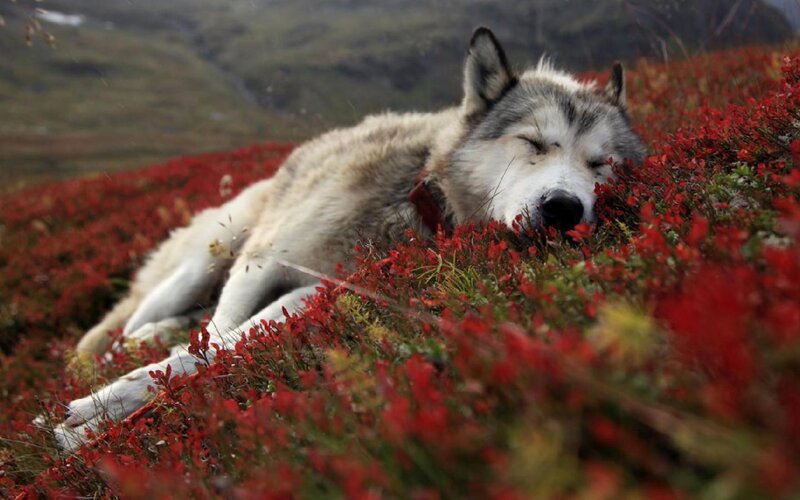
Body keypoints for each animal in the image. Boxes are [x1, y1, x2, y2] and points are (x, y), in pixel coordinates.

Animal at [52, 27, 645, 450]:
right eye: (533, 143)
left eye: (601, 165)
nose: (563, 208)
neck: (416, 199)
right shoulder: (260, 263)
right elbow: (213, 340)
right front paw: (98, 410)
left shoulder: (317, 292)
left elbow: (217, 349)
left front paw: (99, 421)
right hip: (210, 256)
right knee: (123, 327)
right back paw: (123, 347)